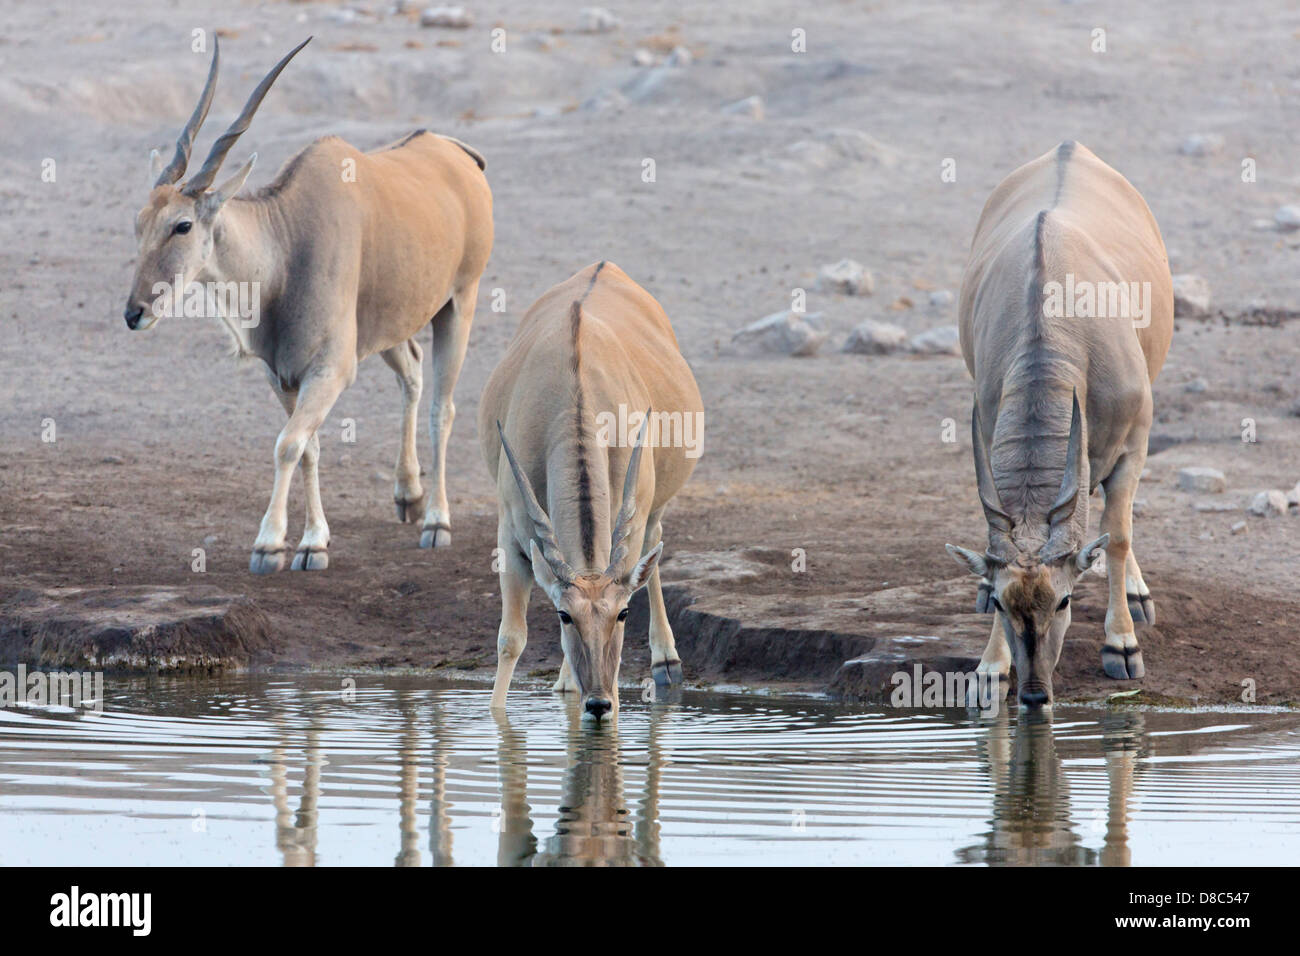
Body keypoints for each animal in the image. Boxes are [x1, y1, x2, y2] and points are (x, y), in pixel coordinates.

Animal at [120, 37, 491, 572]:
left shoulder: (330, 370)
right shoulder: (284, 375)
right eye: (140, 222)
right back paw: (408, 494)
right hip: (390, 327)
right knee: (413, 372)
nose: (135, 313)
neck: (286, 241)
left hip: (459, 303)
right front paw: (313, 540)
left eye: (182, 225)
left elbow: (288, 444)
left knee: (443, 407)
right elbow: (309, 447)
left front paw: (272, 544)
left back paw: (437, 521)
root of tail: (455, 152)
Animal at [480, 261, 702, 717]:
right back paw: (570, 684)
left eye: (623, 613)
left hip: (652, 512)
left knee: (654, 545)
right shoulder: (510, 536)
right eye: (565, 616)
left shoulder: (631, 527)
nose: (598, 703)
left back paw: (665, 661)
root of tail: (606, 267)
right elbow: (511, 639)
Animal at [951, 141, 1175, 712]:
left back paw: (1136, 596)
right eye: (1006, 606)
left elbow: (1116, 536)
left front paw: (1122, 646)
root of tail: (1070, 149)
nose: (1034, 695)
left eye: (1065, 601)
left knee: (1117, 523)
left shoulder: (1134, 443)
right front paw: (989, 669)